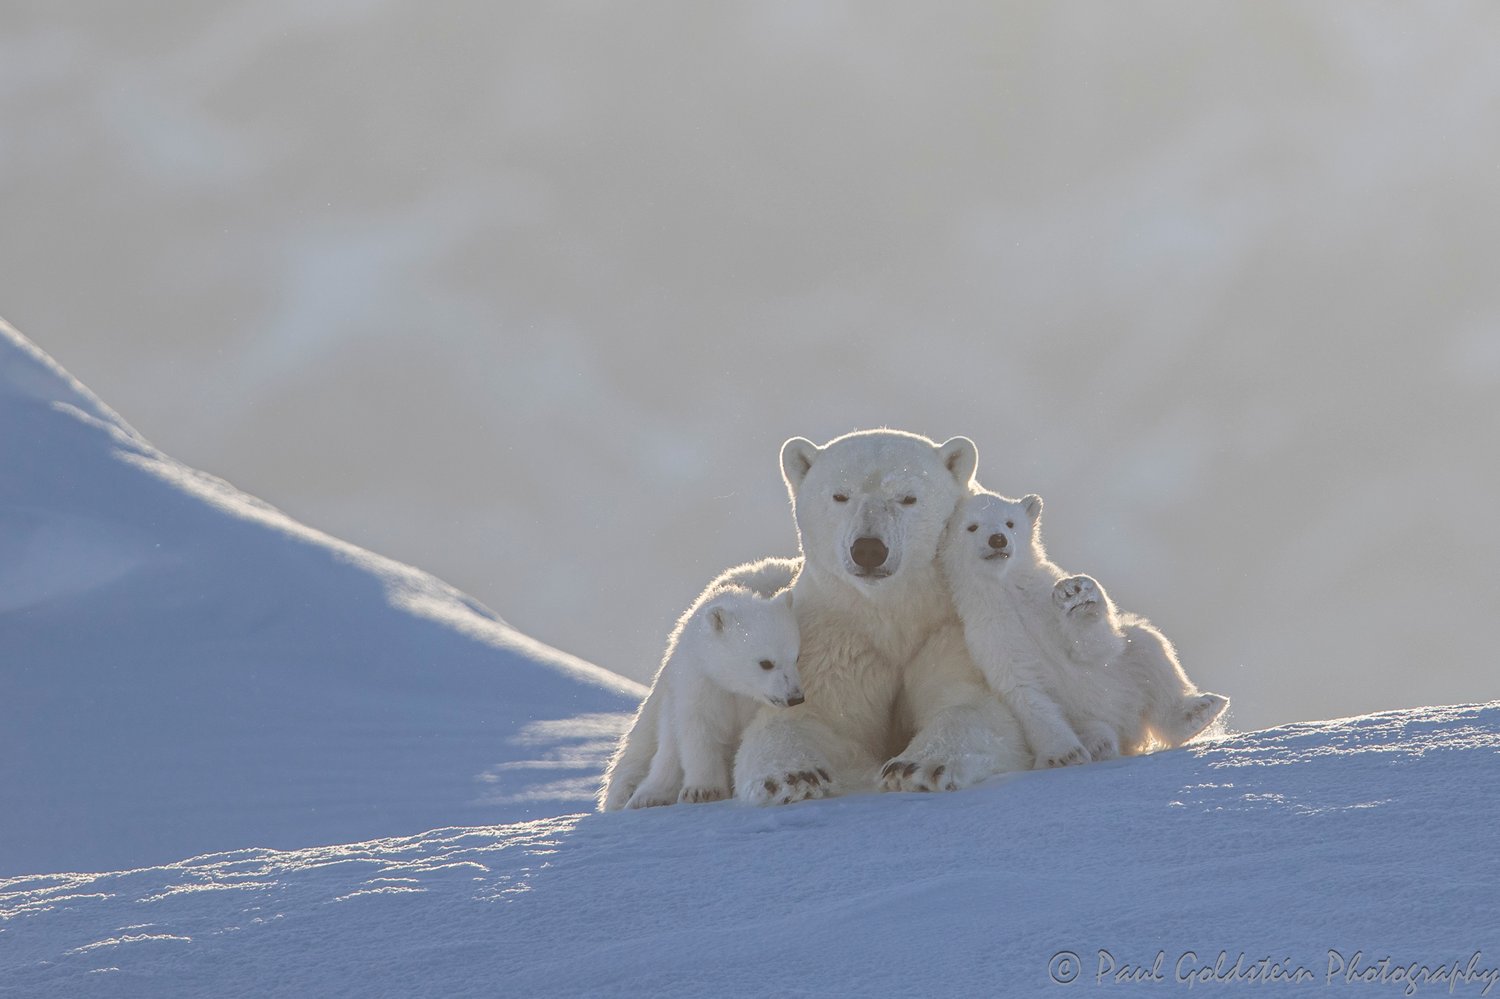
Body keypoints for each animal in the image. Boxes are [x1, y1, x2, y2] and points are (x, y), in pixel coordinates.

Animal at [598, 558, 802, 811]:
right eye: (766, 663)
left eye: (796, 657)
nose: (795, 697)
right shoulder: (701, 680)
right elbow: (698, 729)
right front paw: (701, 791)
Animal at [733, 429, 1031, 806]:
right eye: (840, 495)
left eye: (907, 498)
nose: (869, 550)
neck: (890, 611)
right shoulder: (833, 639)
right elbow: (805, 718)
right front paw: (792, 777)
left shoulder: (948, 629)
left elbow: (970, 702)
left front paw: (916, 767)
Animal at [939, 490, 1229, 766]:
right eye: (972, 527)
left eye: (1010, 523)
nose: (998, 539)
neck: (1007, 588)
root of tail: (1130, 730)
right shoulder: (989, 632)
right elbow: (1024, 688)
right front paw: (1064, 755)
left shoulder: (1041, 598)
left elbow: (1089, 647)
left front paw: (1076, 595)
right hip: (1083, 716)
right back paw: (1100, 744)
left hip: (1124, 676)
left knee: (1148, 647)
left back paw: (1196, 712)